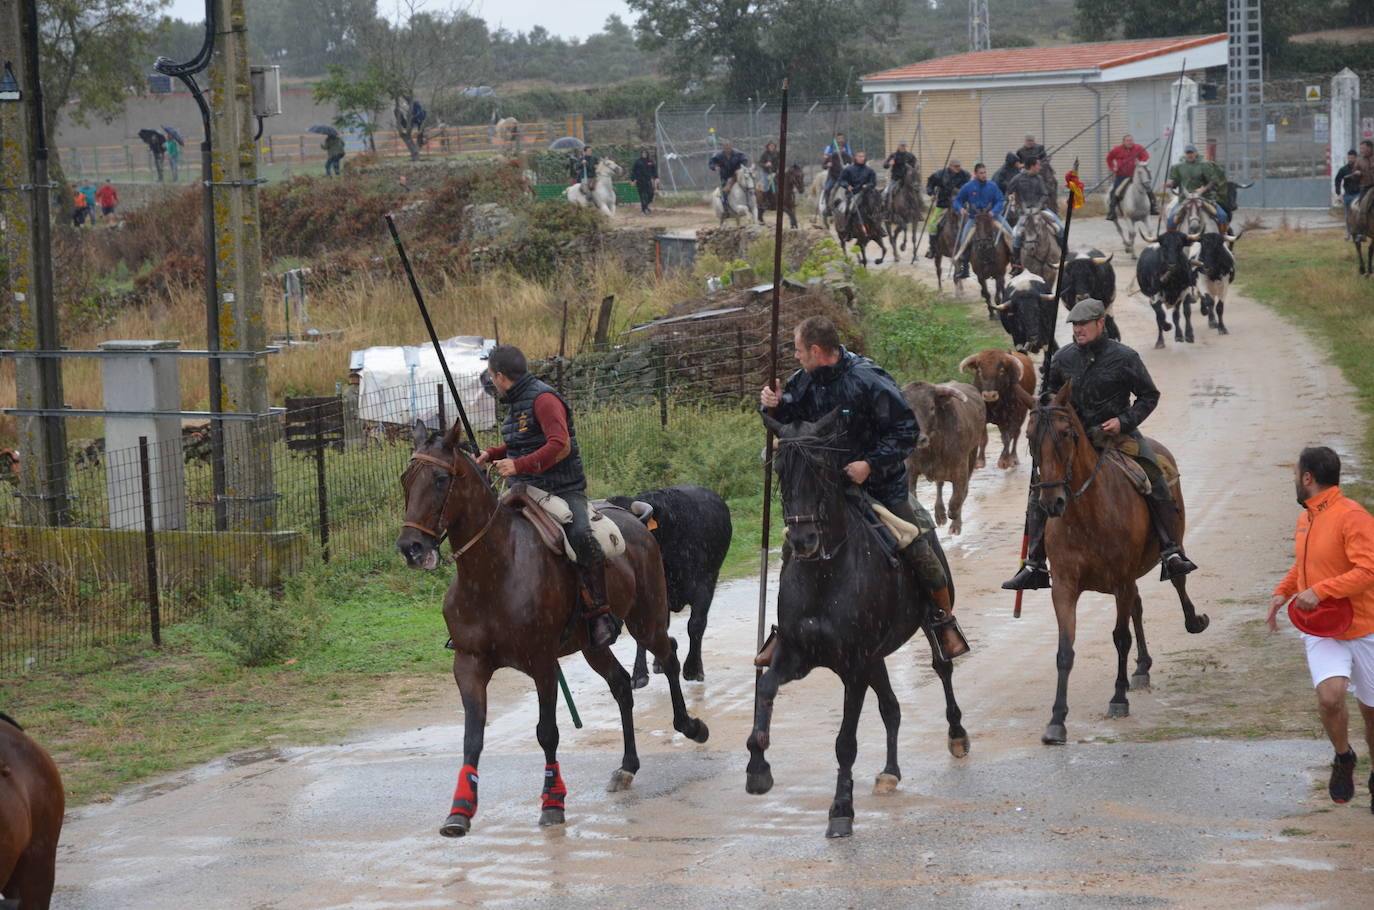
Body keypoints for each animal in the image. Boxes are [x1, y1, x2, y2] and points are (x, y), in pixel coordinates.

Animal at [392, 423, 703, 835]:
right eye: (405, 479)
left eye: (442, 479)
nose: (411, 547)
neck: (493, 573)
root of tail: (636, 520)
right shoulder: (469, 665)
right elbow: (472, 737)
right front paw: (460, 809)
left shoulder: (541, 663)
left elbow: (547, 731)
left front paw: (553, 800)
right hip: (592, 645)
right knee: (621, 685)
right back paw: (627, 766)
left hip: (645, 619)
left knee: (668, 655)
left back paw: (690, 725)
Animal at [747, 412, 972, 841]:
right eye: (780, 469)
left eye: (821, 468)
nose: (803, 539)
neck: (825, 573)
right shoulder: (797, 655)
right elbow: (765, 688)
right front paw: (757, 768)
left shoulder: (853, 666)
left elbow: (846, 741)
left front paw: (841, 810)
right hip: (875, 658)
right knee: (891, 708)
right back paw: (890, 772)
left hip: (923, 624)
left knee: (943, 668)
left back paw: (957, 734)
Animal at [901, 382, 989, 538]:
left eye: (931, 407)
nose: (919, 439)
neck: (932, 448)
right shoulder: (911, 469)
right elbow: (913, 494)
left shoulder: (961, 469)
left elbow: (957, 498)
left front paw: (954, 516)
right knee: (940, 484)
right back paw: (940, 514)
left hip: (972, 454)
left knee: (962, 491)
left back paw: (954, 523)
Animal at [1027, 382, 1209, 747]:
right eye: (1029, 437)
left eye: (1066, 433)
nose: (1051, 502)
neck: (1087, 516)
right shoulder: (1065, 587)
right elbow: (1064, 651)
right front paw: (1056, 721)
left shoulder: (1121, 579)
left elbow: (1120, 637)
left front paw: (1118, 698)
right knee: (1137, 605)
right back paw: (1141, 667)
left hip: (1169, 546)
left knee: (1177, 582)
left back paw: (1192, 621)